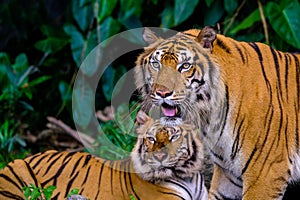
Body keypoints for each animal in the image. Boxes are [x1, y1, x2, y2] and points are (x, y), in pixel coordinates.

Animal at [135, 27, 300, 200]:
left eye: (185, 66)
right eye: (156, 64)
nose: (162, 93)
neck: (211, 115)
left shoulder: (266, 172)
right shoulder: (229, 173)